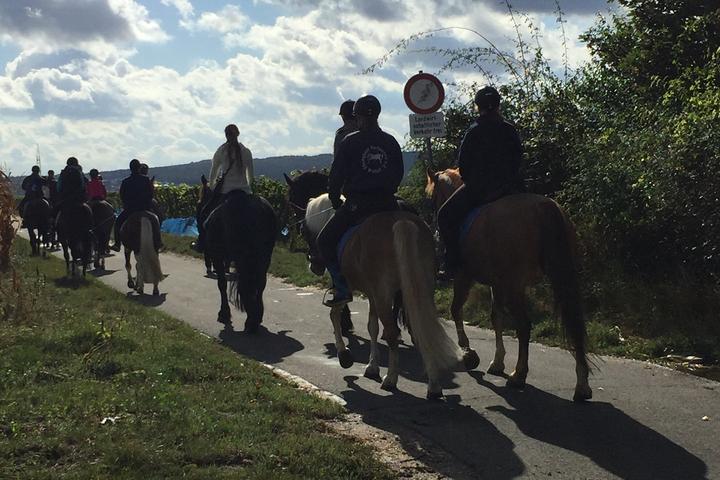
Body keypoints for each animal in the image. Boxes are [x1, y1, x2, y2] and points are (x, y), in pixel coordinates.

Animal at [205, 191, 278, 334]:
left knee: (246, 284)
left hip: (244, 258)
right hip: (264, 257)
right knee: (260, 283)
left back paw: (251, 321)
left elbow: (222, 283)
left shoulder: (217, 256)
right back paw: (255, 318)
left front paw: (224, 313)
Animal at [302, 193, 466, 400]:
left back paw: (391, 379)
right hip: (420, 288)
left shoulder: (349, 290)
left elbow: (335, 315)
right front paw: (372, 366)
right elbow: (372, 326)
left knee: (393, 332)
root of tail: (401, 222)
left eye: (307, 233)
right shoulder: (374, 294)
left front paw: (345, 356)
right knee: (422, 327)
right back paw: (434, 386)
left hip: (384, 294)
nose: (313, 265)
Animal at [428, 169, 592, 402]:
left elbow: (456, 310)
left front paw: (468, 352)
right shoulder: (498, 283)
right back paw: (582, 384)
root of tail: (544, 207)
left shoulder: (464, 276)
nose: (433, 221)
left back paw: (519, 375)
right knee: (574, 322)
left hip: (515, 286)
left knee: (524, 325)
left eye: (432, 196)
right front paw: (497, 362)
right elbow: (496, 317)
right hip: (560, 276)